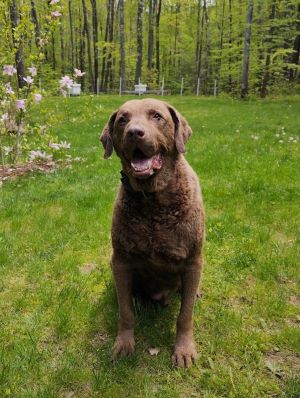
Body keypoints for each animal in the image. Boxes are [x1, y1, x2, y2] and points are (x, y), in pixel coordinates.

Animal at [100, 98, 204, 366]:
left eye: (157, 116)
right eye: (123, 119)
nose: (135, 132)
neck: (153, 200)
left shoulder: (193, 260)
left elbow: (185, 314)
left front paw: (184, 350)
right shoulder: (121, 260)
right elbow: (125, 311)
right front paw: (124, 343)